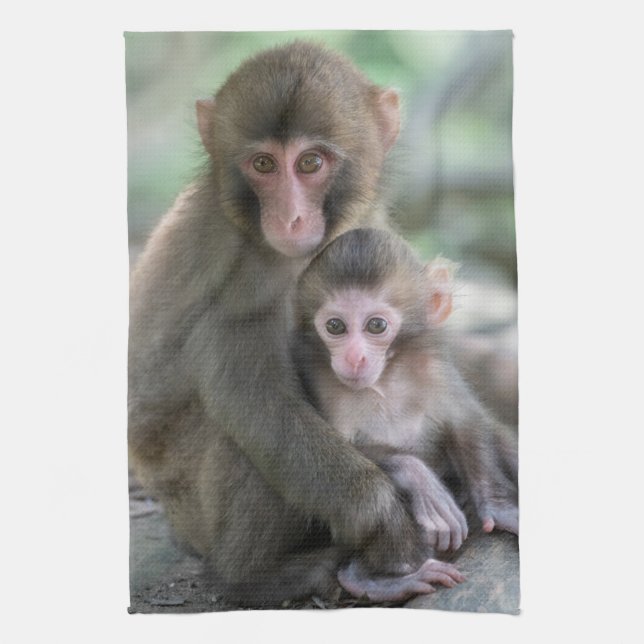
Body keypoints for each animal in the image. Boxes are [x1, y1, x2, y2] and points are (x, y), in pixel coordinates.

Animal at [128, 41, 452, 608]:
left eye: (309, 163)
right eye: (263, 164)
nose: (290, 219)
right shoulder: (247, 269)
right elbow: (250, 397)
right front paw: (384, 517)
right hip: (191, 507)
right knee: (243, 435)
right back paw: (255, 577)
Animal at [292, 227, 519, 602]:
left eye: (376, 325)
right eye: (336, 326)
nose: (354, 358)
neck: (384, 381)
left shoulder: (434, 367)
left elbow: (466, 423)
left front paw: (499, 507)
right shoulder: (319, 380)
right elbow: (322, 450)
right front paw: (419, 479)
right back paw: (377, 579)